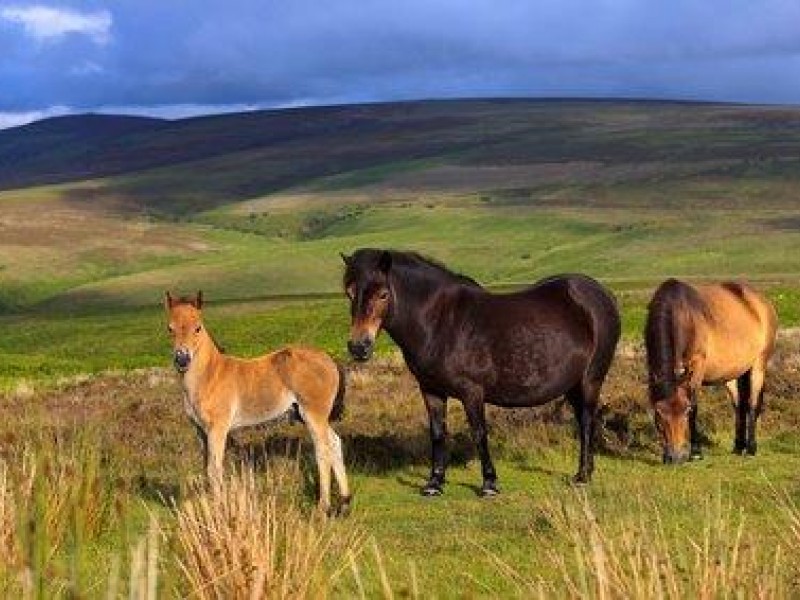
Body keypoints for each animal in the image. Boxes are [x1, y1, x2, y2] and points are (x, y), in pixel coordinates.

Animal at [165, 292, 350, 516]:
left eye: (198, 327)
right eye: (170, 328)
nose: (182, 359)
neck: (211, 375)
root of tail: (329, 359)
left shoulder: (217, 429)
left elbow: (214, 469)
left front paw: (219, 511)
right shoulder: (200, 431)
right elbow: (206, 468)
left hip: (313, 415)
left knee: (322, 451)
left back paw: (323, 507)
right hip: (312, 417)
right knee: (335, 442)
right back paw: (345, 502)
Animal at [340, 250, 620, 496]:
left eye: (383, 294)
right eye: (350, 292)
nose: (358, 347)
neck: (440, 322)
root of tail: (600, 293)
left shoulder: (471, 391)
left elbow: (479, 433)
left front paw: (489, 484)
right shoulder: (431, 390)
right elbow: (437, 433)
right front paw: (434, 483)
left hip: (591, 379)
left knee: (586, 420)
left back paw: (582, 476)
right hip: (572, 383)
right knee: (582, 420)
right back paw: (586, 472)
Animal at [644, 280, 780, 464]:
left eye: (685, 411)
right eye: (659, 413)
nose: (675, 457)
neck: (682, 314)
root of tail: (762, 302)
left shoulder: (697, 366)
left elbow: (695, 404)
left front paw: (696, 452)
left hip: (758, 366)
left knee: (752, 404)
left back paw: (751, 448)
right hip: (733, 374)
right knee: (739, 405)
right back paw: (739, 447)